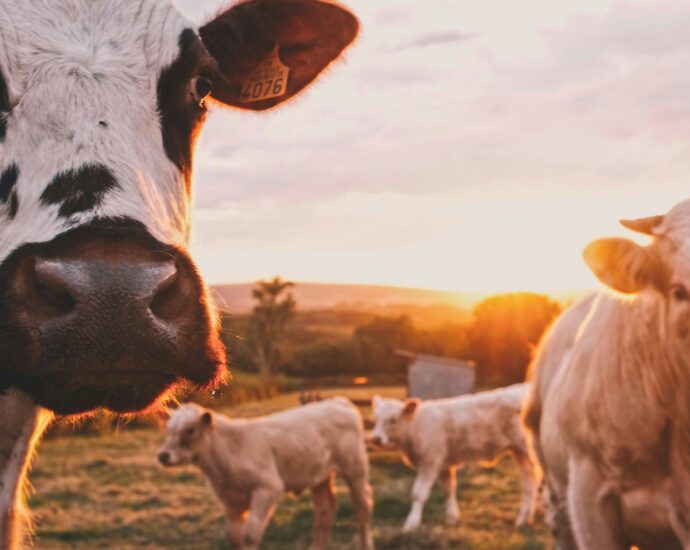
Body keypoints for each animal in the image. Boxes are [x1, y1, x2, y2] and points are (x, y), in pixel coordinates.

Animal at [157, 399, 374, 550]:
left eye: (190, 430)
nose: (163, 455)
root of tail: (337, 401)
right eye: (167, 429)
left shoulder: (267, 487)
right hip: (319, 475)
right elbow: (234, 537)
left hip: (355, 468)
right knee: (325, 512)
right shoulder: (231, 500)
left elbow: (250, 534)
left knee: (362, 508)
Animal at [371, 384, 538, 532]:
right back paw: (524, 519)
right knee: (528, 481)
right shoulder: (444, 465)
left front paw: (411, 523)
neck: (415, 427)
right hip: (519, 452)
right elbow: (448, 490)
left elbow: (418, 493)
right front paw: (452, 518)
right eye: (376, 419)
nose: (376, 439)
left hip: (528, 449)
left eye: (393, 419)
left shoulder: (430, 462)